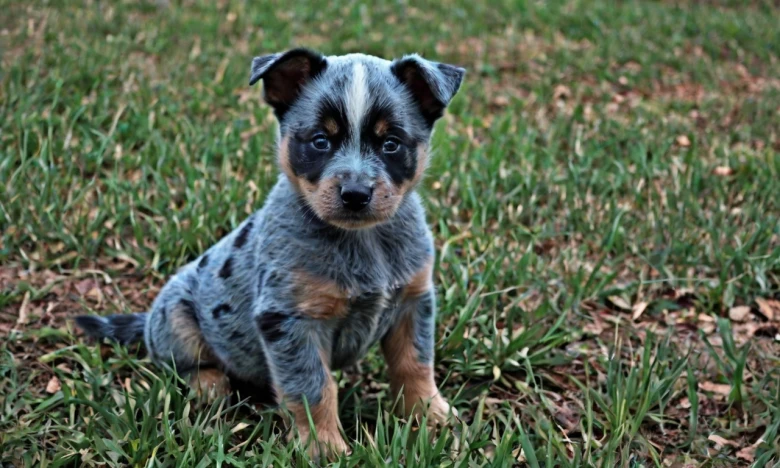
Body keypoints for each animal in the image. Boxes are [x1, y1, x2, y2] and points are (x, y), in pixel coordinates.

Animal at [74, 48, 464, 460]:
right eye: (320, 141)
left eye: (390, 144)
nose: (355, 194)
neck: (363, 241)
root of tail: (148, 317)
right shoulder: (289, 319)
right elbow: (313, 389)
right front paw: (324, 448)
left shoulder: (413, 300)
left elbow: (415, 364)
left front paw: (431, 415)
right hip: (177, 318)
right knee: (184, 362)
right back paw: (210, 385)